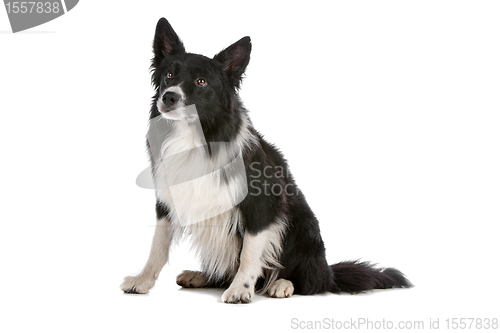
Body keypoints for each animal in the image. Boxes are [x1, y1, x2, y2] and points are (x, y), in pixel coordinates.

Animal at [120, 18, 410, 304]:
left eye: (202, 81)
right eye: (169, 75)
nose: (168, 97)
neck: (195, 135)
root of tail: (329, 272)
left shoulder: (261, 203)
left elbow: (250, 252)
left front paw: (241, 289)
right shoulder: (168, 198)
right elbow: (157, 246)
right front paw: (142, 281)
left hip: (305, 226)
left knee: (311, 281)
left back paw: (282, 284)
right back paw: (201, 276)